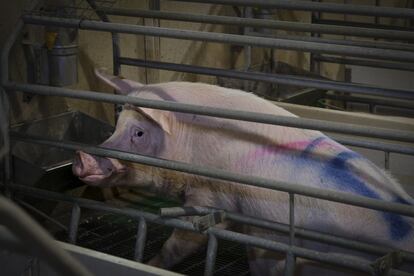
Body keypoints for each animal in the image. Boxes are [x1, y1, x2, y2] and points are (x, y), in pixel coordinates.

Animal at [73, 69, 412, 276]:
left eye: (139, 133)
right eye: (116, 125)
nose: (82, 157)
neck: (191, 144)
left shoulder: (210, 195)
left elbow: (184, 239)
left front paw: (148, 262)